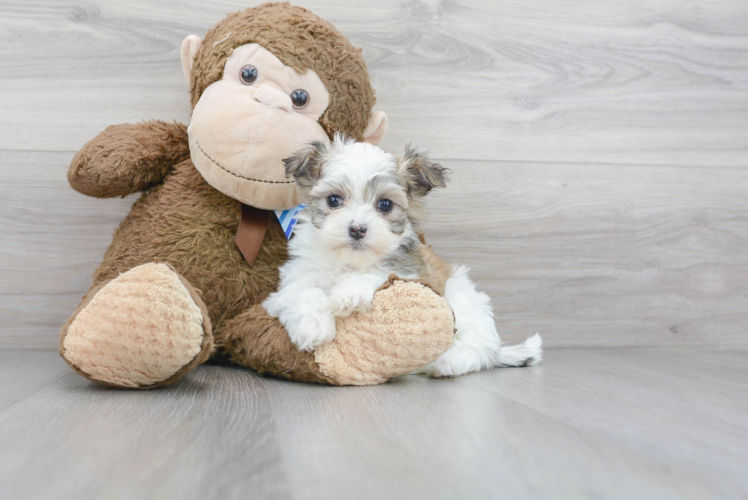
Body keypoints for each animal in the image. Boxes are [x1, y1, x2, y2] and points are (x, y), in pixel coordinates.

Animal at [260, 135, 540, 376]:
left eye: (385, 205)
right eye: (333, 200)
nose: (357, 229)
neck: (351, 261)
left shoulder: (411, 272)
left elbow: (380, 272)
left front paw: (349, 293)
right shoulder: (291, 283)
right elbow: (304, 292)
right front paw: (313, 326)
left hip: (463, 302)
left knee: (478, 350)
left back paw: (446, 362)